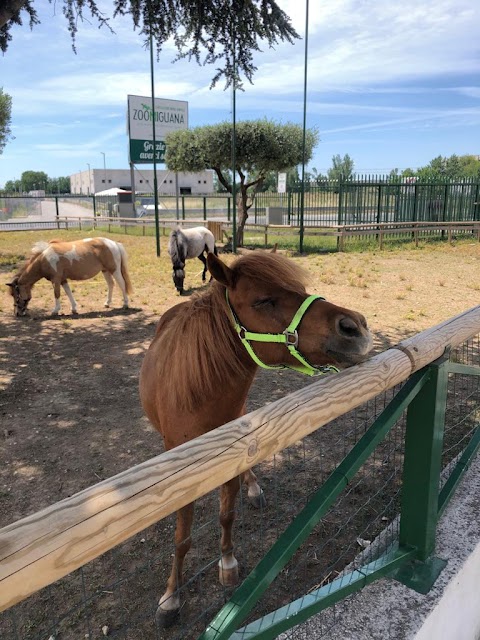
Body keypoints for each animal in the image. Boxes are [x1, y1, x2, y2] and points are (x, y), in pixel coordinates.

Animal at [141, 249, 374, 624]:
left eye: (300, 289)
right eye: (263, 300)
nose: (355, 326)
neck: (198, 397)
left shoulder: (232, 460)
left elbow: (227, 515)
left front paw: (227, 563)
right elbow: (181, 538)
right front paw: (171, 597)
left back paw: (253, 487)